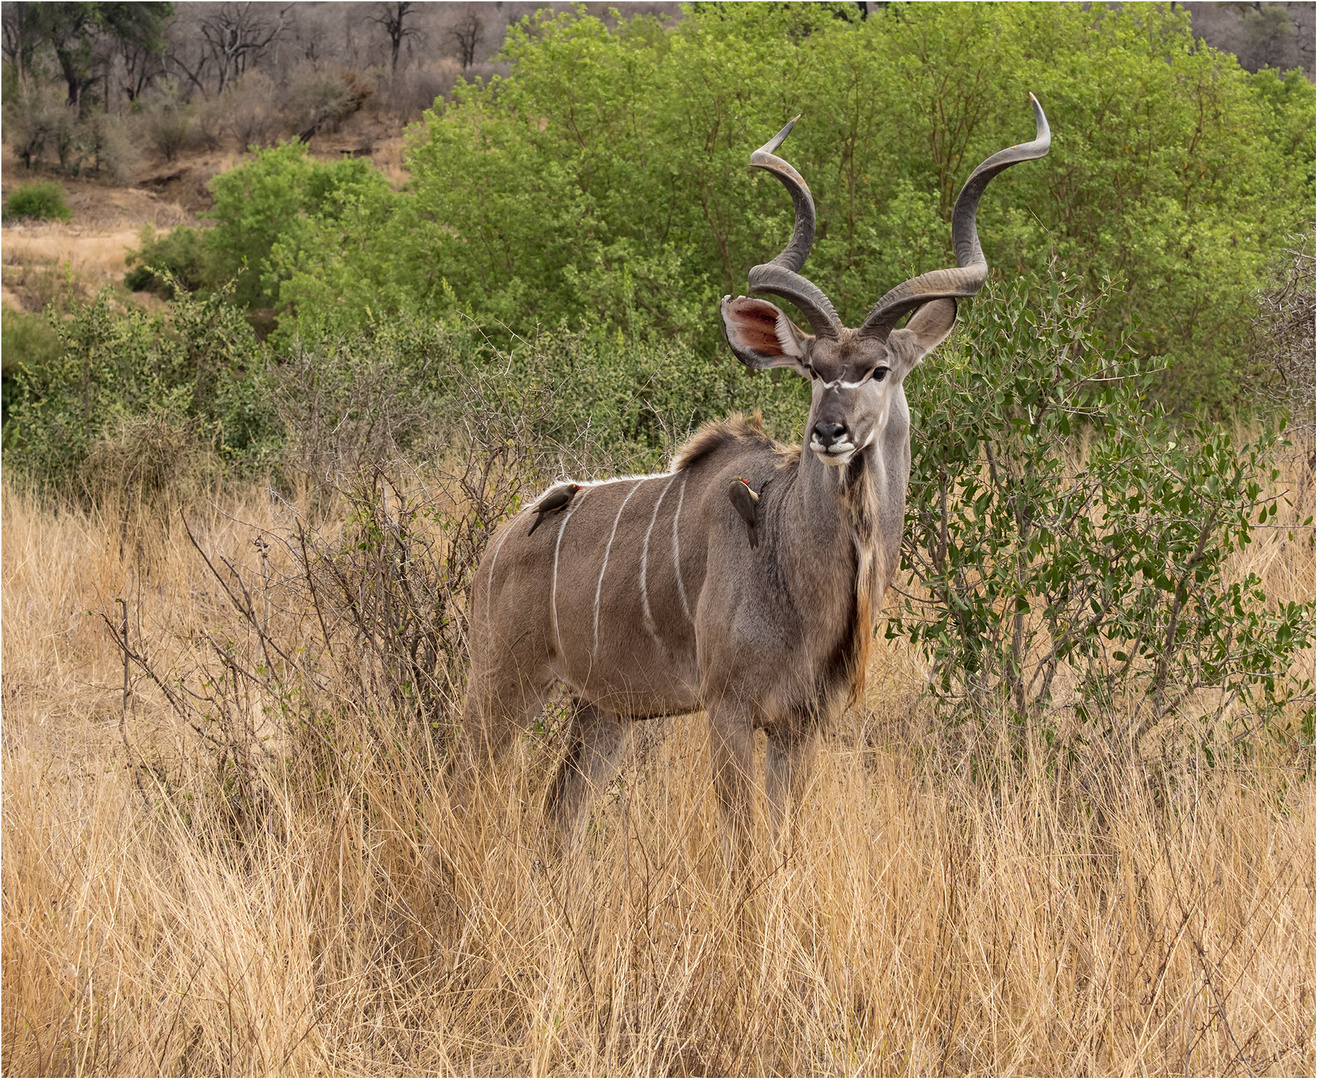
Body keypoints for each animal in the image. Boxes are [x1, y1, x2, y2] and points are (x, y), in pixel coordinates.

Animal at [463, 94, 1049, 854]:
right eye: (813, 371)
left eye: (877, 370)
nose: (828, 432)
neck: (794, 562)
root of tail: (499, 545)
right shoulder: (730, 708)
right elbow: (743, 846)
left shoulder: (801, 725)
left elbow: (782, 840)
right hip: (503, 684)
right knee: (464, 782)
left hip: (604, 711)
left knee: (560, 815)